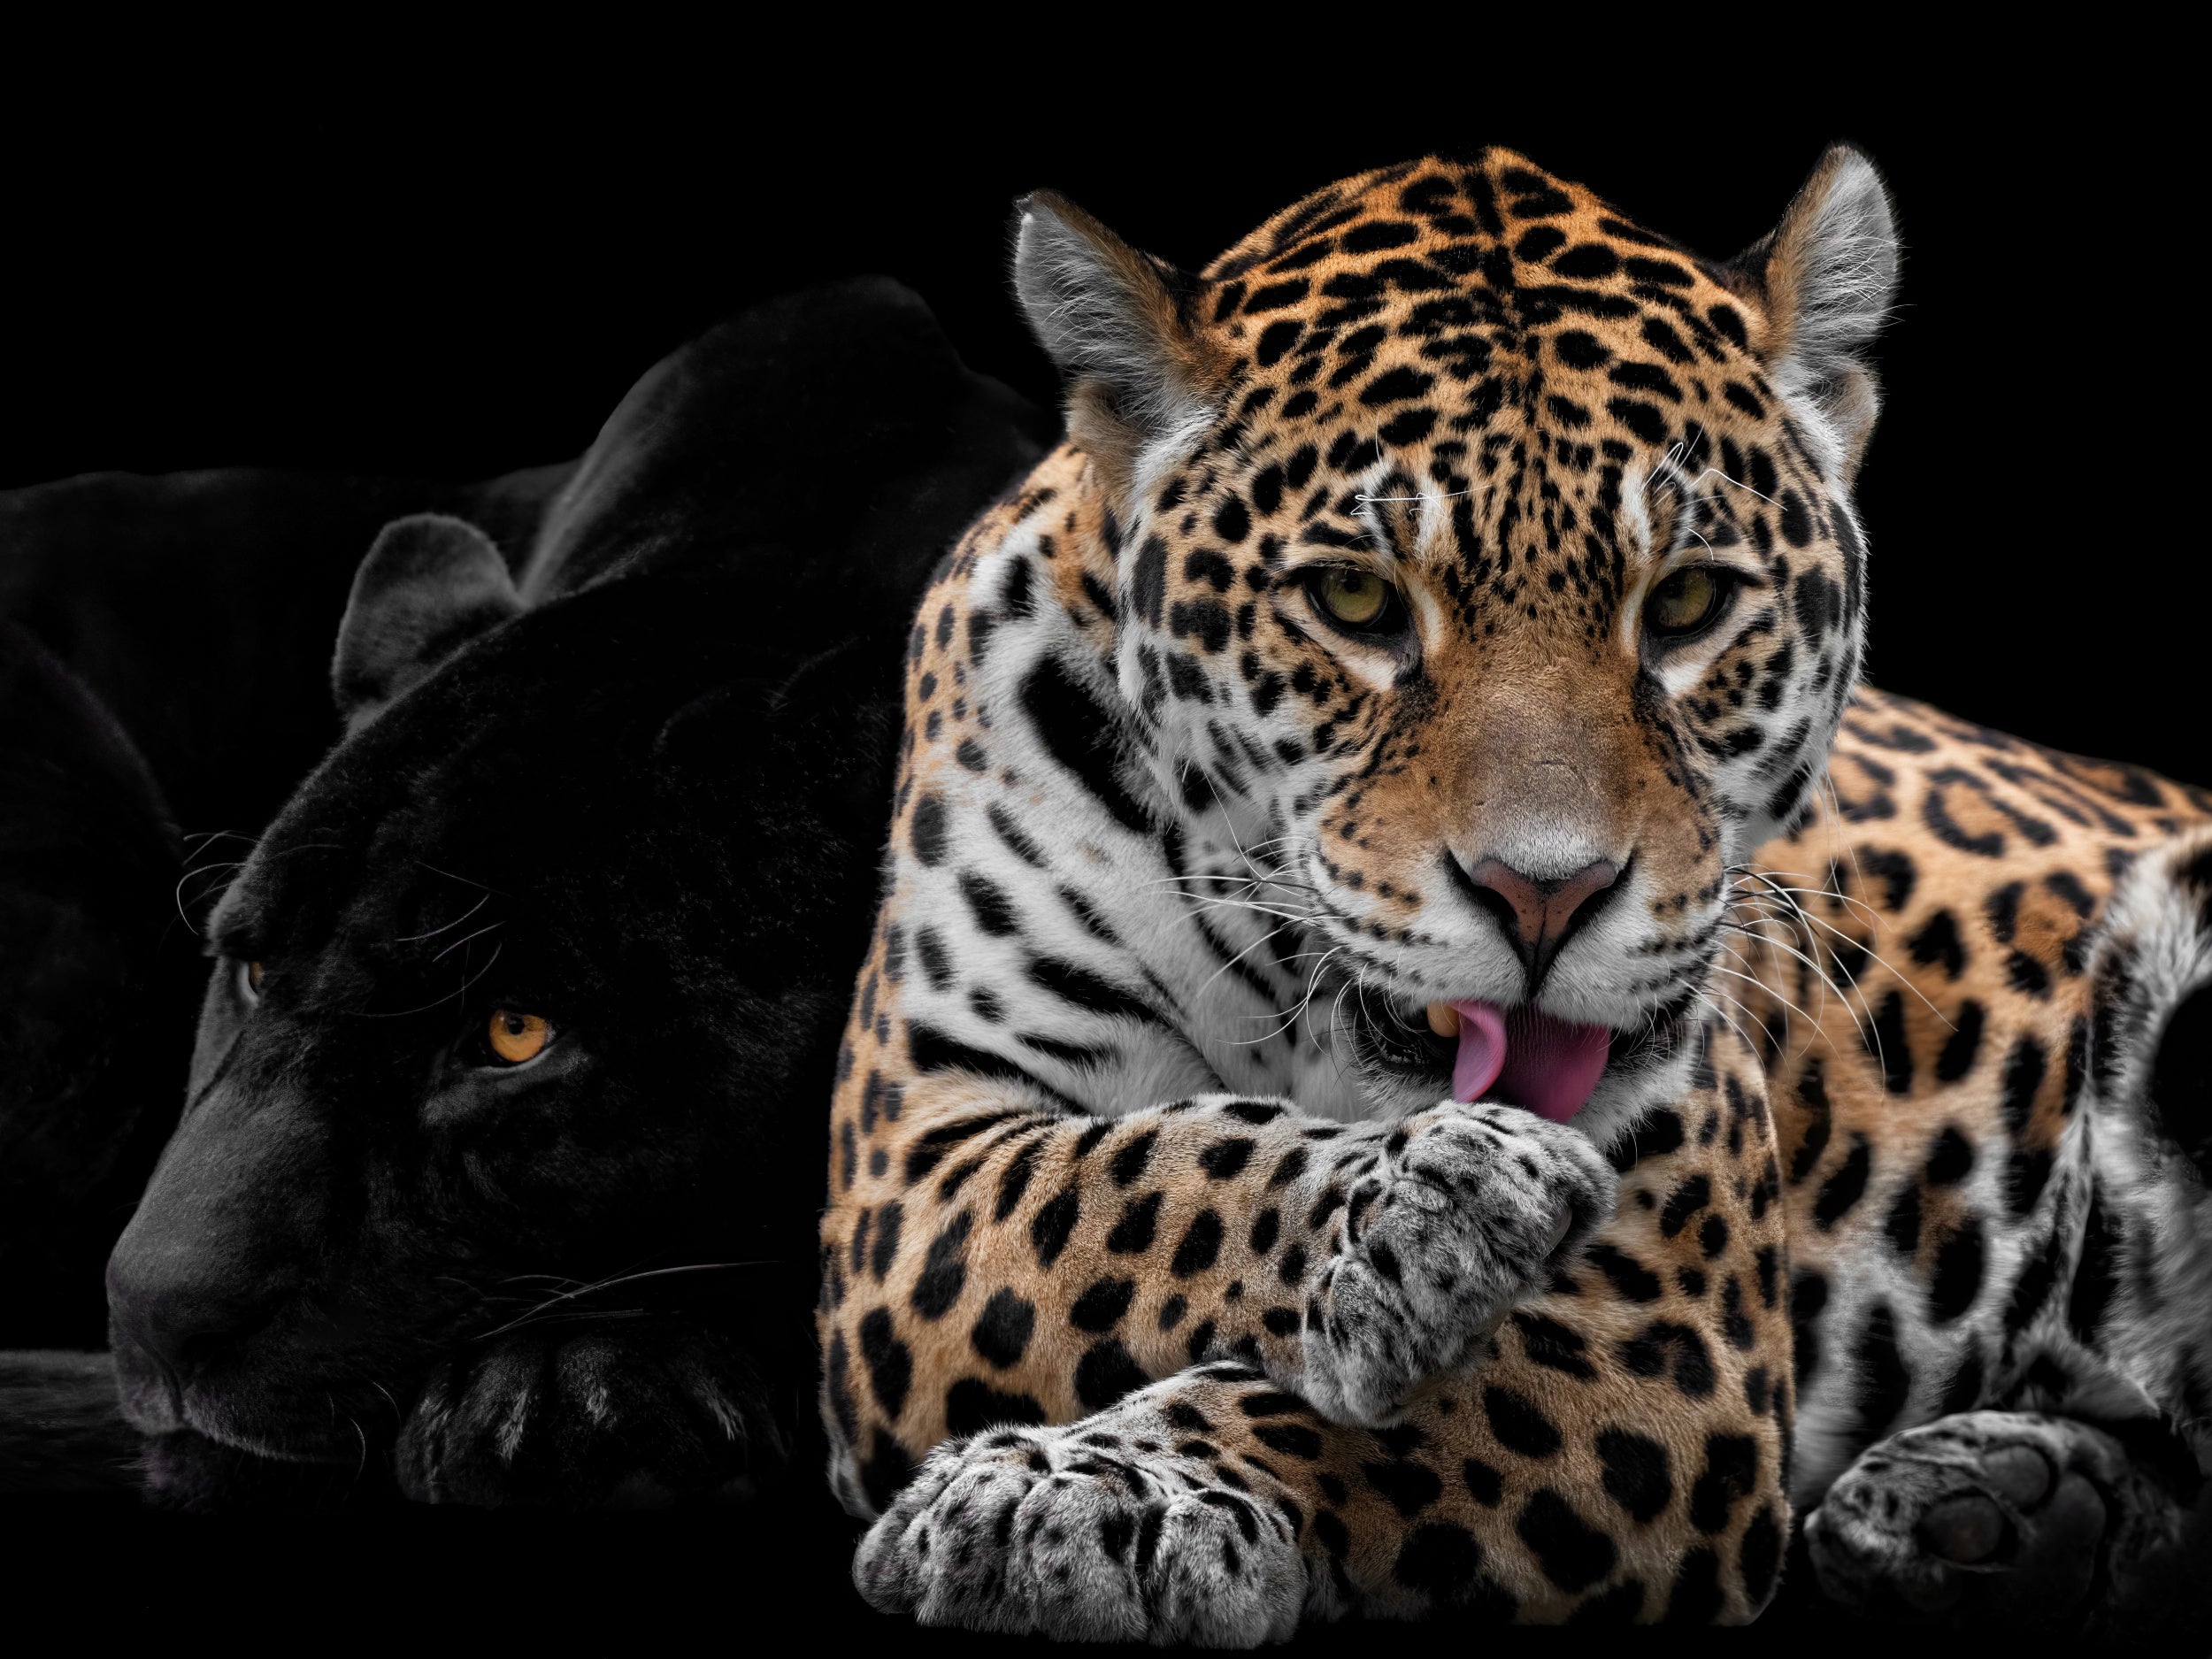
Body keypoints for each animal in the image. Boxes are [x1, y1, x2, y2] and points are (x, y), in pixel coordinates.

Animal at [816, 144, 2212, 1638]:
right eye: (1355, 600)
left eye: (1689, 601)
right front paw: (1421, 1212)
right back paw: (1997, 1510)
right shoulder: (910, 1160)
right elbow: (1135, 1176)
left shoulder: (1668, 1329)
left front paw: (1101, 1480)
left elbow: (1348, 1415)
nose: (1546, 894)